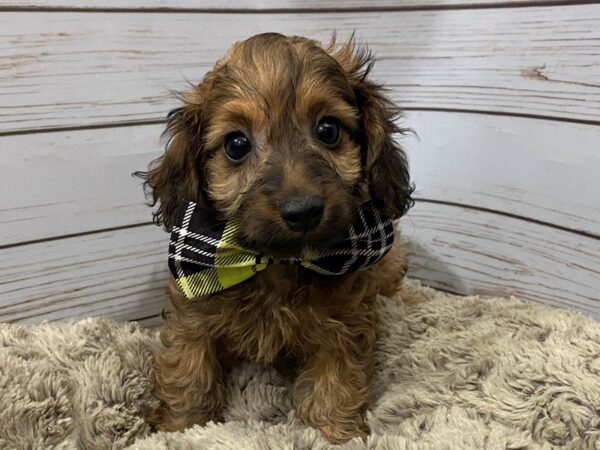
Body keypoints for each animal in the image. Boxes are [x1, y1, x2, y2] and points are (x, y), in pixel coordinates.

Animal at [138, 32, 414, 442]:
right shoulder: (193, 316)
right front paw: (180, 427)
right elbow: (188, 372)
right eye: (236, 145)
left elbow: (336, 382)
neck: (277, 263)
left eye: (328, 130)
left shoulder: (345, 323)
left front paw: (334, 432)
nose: (302, 210)